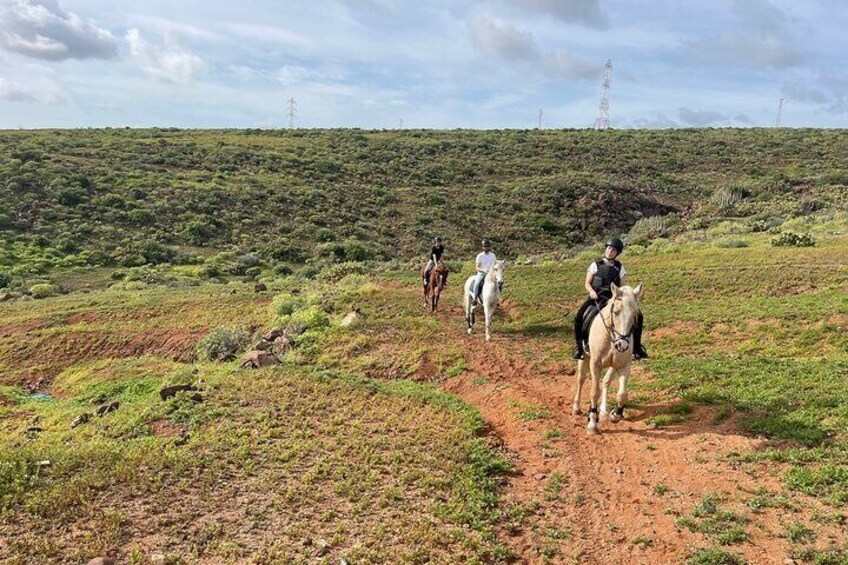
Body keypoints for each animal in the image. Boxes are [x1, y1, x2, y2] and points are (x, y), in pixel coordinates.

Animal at [572, 284, 644, 434]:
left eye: (635, 315)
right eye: (616, 312)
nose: (622, 345)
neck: (611, 338)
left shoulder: (624, 365)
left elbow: (622, 394)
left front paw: (616, 414)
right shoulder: (595, 365)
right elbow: (594, 392)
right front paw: (592, 423)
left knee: (606, 381)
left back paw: (604, 411)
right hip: (584, 357)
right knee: (581, 379)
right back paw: (576, 408)